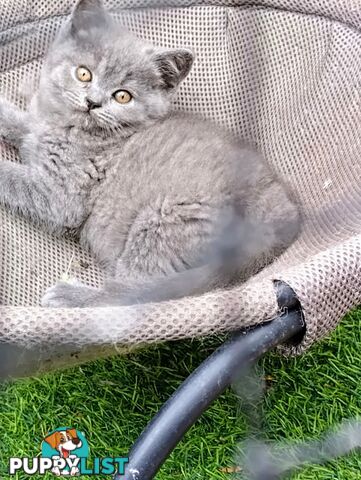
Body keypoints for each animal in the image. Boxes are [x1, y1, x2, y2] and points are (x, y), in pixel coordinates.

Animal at [0, 0, 298, 308]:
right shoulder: (35, 130)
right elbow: (22, 124)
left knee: (132, 297)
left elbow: (13, 177)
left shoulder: (61, 197)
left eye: (122, 96)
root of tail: (283, 216)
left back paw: (71, 296)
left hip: (164, 222)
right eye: (84, 73)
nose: (92, 102)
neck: (68, 127)